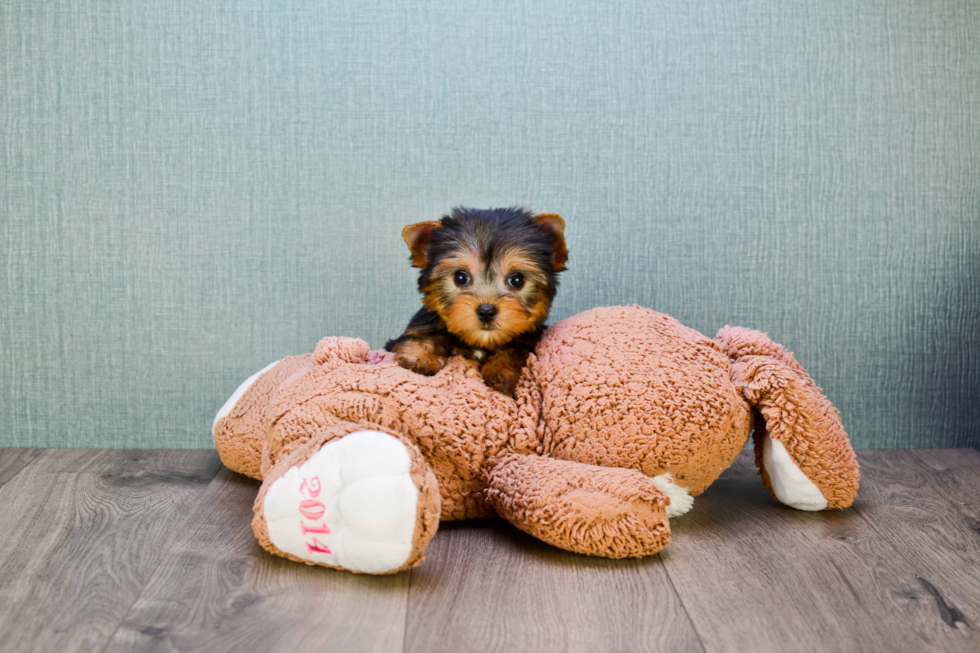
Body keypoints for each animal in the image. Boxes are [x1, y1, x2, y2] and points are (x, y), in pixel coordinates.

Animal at [382, 206, 568, 394]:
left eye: (517, 280)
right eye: (460, 277)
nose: (486, 311)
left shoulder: (528, 340)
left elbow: (514, 350)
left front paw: (501, 370)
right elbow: (421, 335)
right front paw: (420, 357)